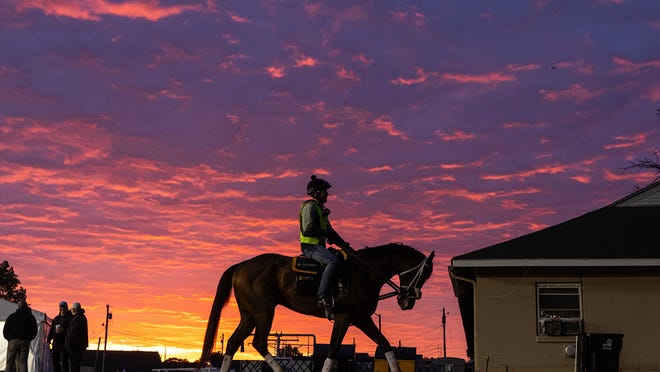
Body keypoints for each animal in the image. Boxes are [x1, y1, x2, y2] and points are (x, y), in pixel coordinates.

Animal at [199, 243, 436, 370]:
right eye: (423, 273)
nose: (407, 301)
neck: (366, 272)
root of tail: (241, 265)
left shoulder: (361, 318)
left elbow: (385, 344)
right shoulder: (345, 317)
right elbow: (332, 349)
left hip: (250, 315)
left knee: (232, 343)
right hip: (264, 312)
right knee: (258, 342)